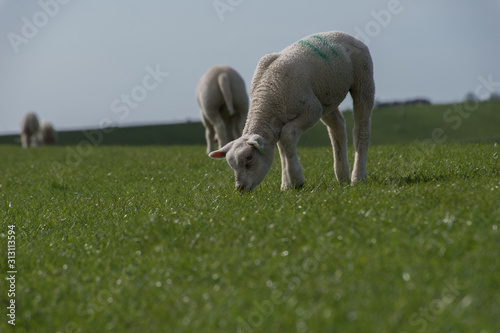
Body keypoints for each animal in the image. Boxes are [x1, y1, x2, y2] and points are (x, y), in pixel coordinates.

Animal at [208, 31, 376, 192]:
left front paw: (296, 180)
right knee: (338, 128)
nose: (240, 188)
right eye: (231, 165)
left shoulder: (311, 110)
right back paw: (342, 177)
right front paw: (286, 185)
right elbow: (282, 148)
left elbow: (287, 136)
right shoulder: (279, 121)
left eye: (249, 157)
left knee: (362, 129)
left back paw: (358, 177)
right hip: (327, 99)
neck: (268, 97)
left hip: (363, 79)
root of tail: (347, 35)